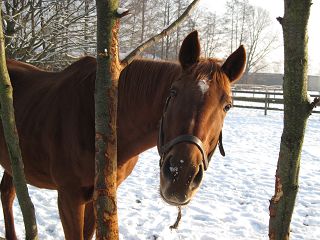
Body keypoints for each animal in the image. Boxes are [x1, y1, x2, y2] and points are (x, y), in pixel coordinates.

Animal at [0, 31, 246, 239]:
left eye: (227, 106)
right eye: (173, 92)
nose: (181, 175)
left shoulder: (99, 195)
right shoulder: (69, 197)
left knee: (7, 194)